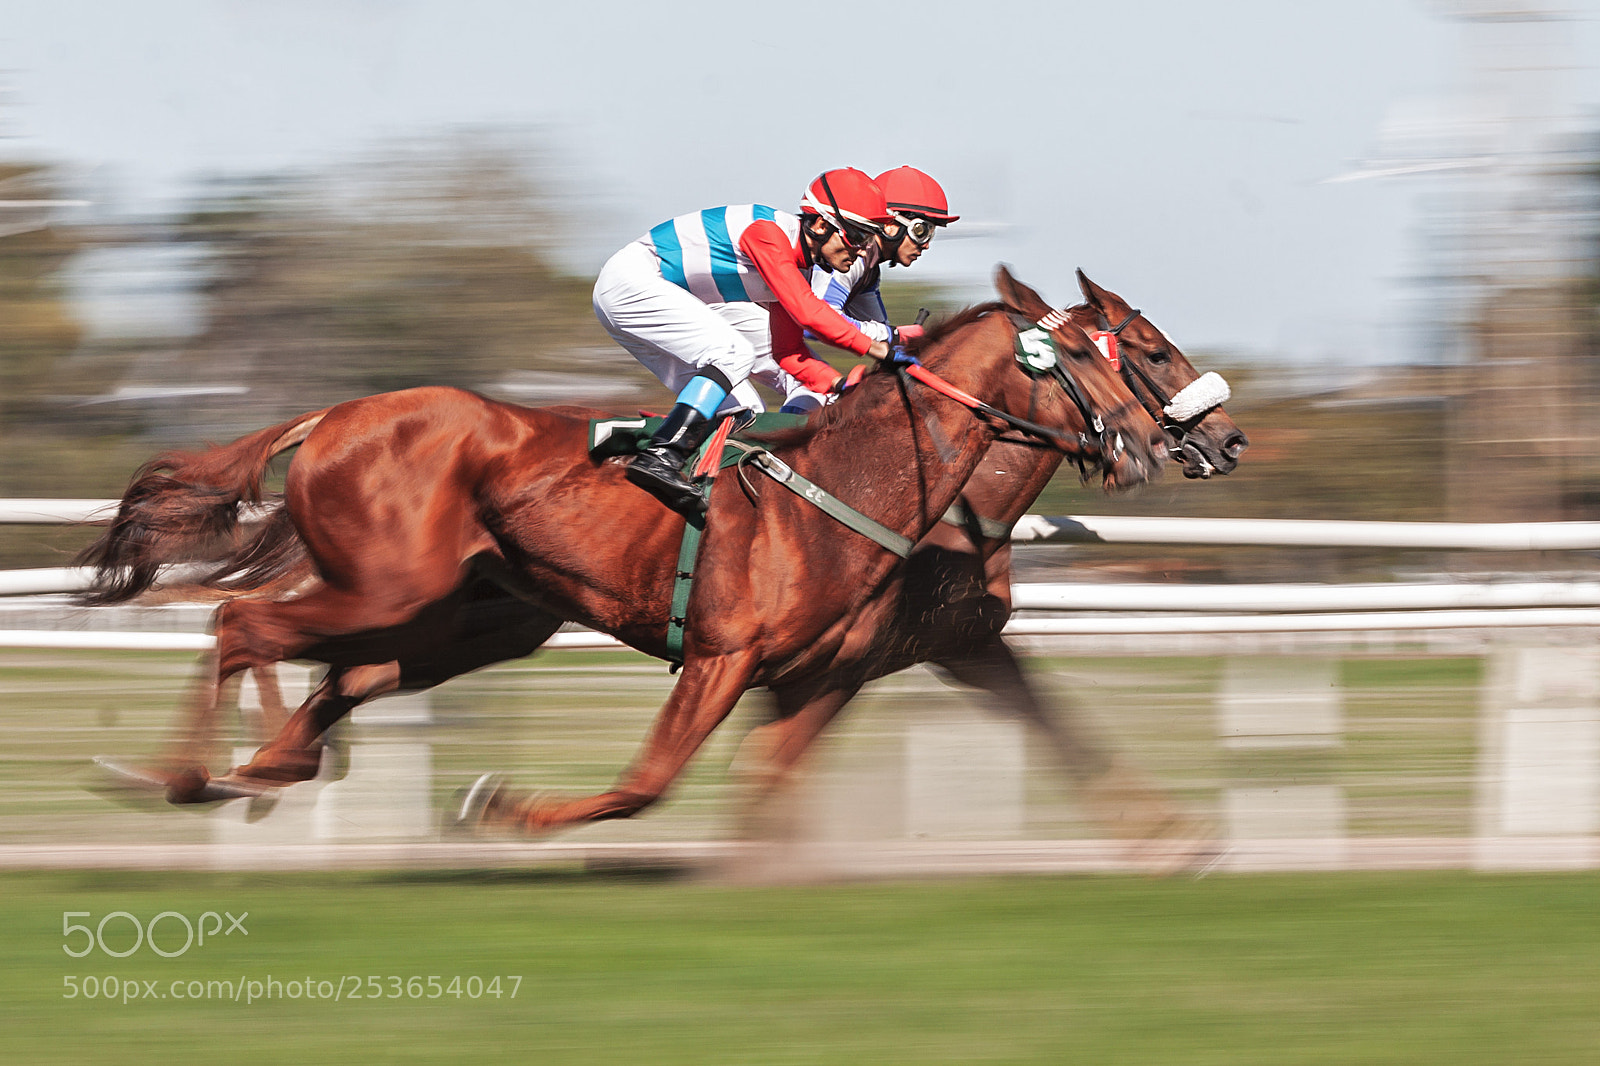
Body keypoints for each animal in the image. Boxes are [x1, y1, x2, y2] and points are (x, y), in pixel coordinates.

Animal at [79, 270, 1166, 834]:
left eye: (1137, 351)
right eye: (1091, 353)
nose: (1151, 439)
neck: (847, 491)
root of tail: (335, 415)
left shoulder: (819, 670)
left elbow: (754, 784)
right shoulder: (727, 653)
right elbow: (648, 783)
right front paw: (506, 806)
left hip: (464, 611)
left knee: (336, 670)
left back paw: (251, 766)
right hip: (391, 584)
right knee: (244, 622)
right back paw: (195, 773)